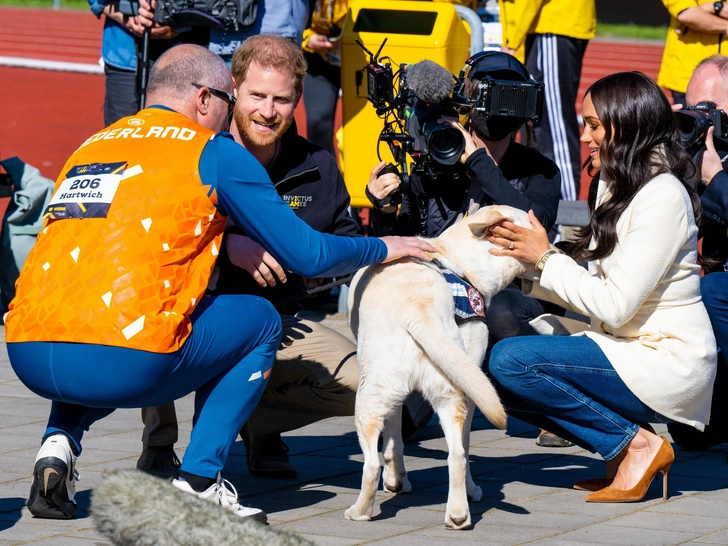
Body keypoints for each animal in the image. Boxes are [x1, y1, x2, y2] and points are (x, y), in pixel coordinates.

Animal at [346, 204, 528, 528]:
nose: (556, 247)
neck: (456, 261)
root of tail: (418, 312)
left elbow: (392, 439)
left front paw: (395, 481)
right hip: (448, 393)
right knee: (457, 454)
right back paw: (458, 513)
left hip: (370, 398)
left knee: (371, 464)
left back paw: (360, 512)